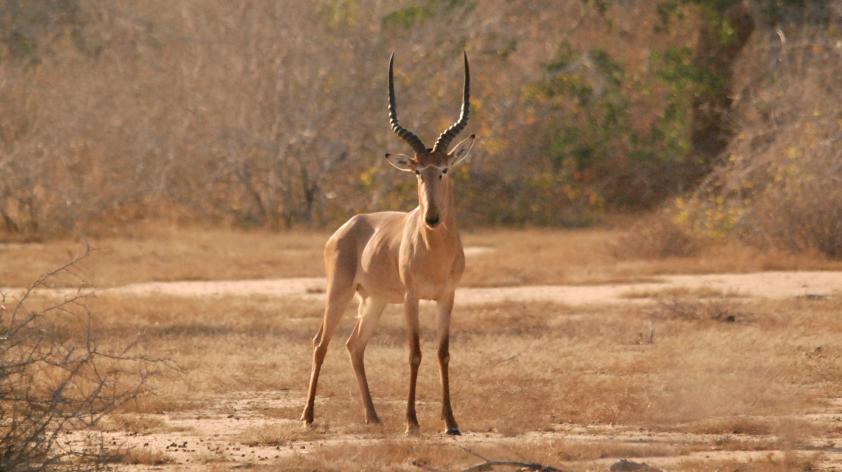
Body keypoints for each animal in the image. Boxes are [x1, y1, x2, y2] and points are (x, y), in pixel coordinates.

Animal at [300, 51, 472, 436]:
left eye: (444, 170)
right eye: (417, 172)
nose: (432, 218)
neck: (435, 253)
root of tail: (348, 226)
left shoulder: (447, 296)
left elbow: (443, 353)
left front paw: (451, 423)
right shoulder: (411, 297)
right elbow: (414, 353)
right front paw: (412, 423)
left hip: (374, 300)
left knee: (354, 344)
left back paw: (373, 416)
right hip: (340, 293)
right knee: (321, 342)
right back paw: (307, 416)